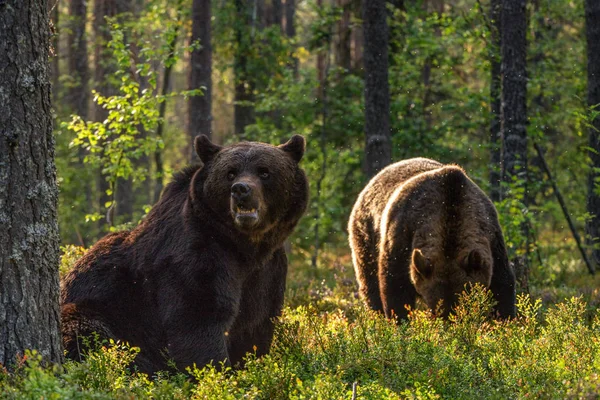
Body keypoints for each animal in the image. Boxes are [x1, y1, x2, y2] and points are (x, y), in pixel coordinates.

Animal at [61, 135, 310, 376]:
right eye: (230, 172)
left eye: (264, 171)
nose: (241, 189)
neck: (245, 246)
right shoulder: (196, 257)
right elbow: (198, 319)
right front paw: (214, 374)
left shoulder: (269, 270)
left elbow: (256, 326)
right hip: (100, 309)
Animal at [346, 158, 516, 320]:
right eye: (436, 307)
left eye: (464, 304)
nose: (450, 322)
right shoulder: (403, 232)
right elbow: (395, 285)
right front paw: (399, 321)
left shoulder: (492, 236)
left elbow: (502, 285)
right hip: (366, 233)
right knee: (369, 282)